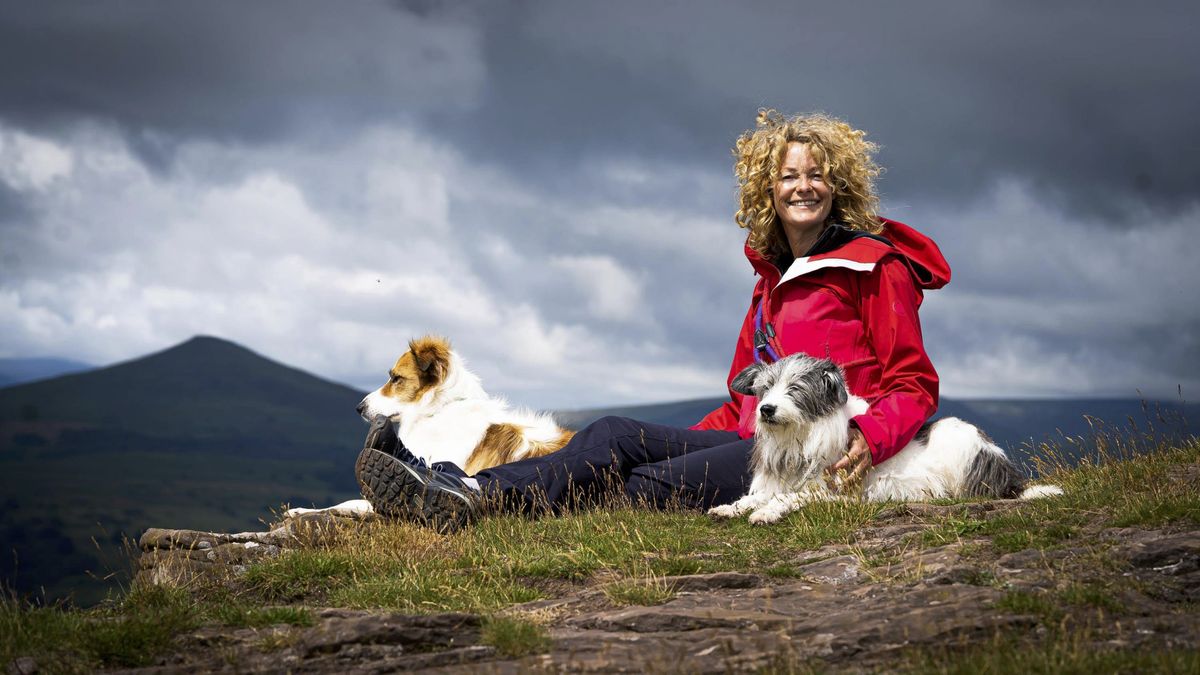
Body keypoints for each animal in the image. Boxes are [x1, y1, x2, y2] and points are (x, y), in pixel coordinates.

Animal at [705, 355, 1065, 523]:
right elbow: (756, 497)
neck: (801, 434)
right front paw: (731, 508)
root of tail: (1009, 478)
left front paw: (765, 513)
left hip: (955, 442)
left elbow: (787, 498)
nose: (766, 409)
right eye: (765, 388)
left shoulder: (831, 490)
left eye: (795, 388)